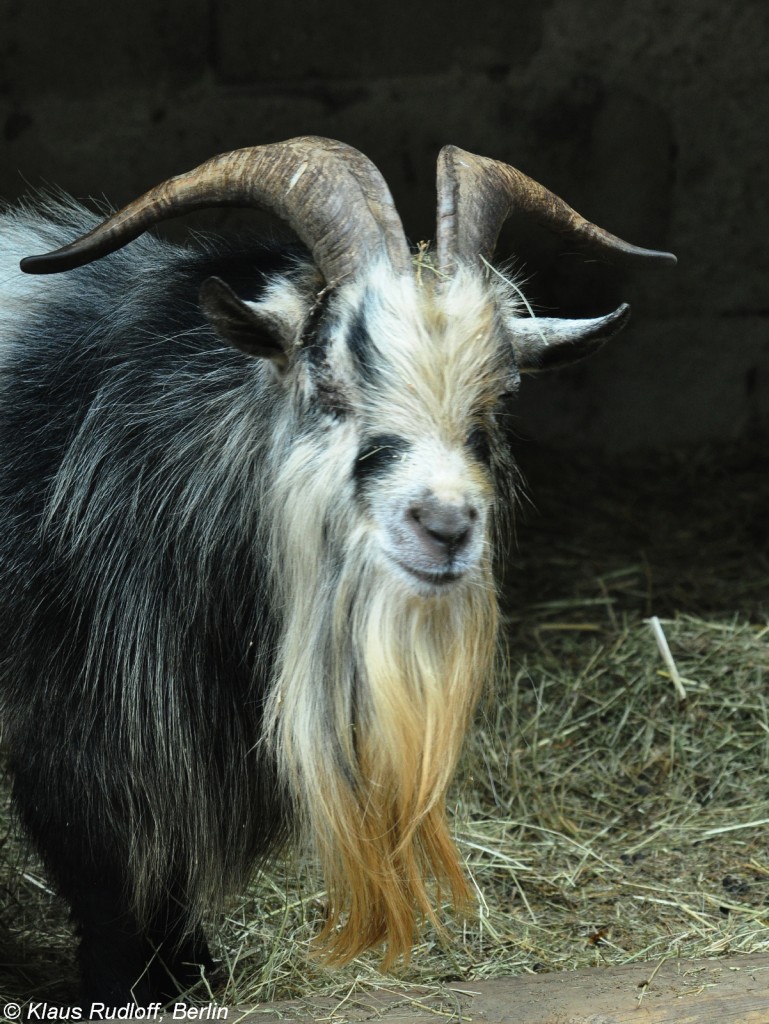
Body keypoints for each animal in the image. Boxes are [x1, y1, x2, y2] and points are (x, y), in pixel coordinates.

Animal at [0, 138, 671, 1007]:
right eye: (327, 387)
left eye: (492, 409)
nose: (445, 526)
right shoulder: (73, 727)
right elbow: (105, 880)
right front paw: (127, 986)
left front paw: (190, 967)